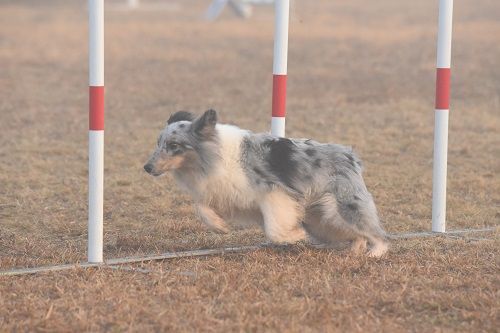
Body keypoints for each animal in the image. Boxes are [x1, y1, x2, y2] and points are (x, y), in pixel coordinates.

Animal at [143, 109, 388, 256]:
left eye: (174, 145)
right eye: (158, 143)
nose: (147, 167)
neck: (212, 153)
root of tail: (350, 155)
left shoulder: (274, 195)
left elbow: (274, 229)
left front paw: (295, 236)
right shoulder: (223, 192)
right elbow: (201, 206)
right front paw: (219, 225)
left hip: (345, 205)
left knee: (376, 232)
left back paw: (374, 253)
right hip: (322, 218)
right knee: (356, 233)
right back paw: (354, 250)